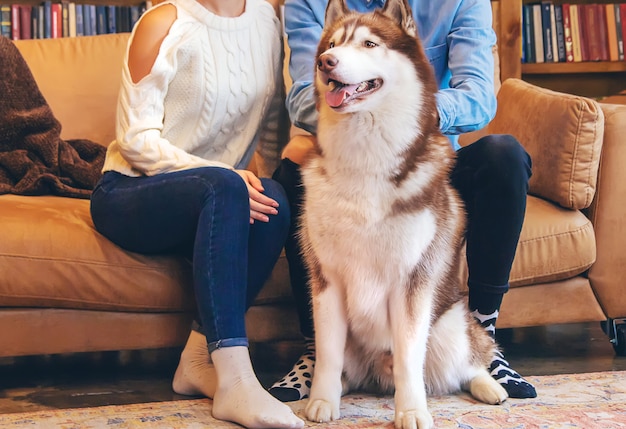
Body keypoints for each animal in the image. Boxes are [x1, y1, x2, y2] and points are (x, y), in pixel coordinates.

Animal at [298, 0, 508, 428]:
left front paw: (411, 411)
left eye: (369, 43)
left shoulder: (412, 281)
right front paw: (322, 401)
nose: (327, 62)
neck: (364, 157)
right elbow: (327, 353)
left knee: (465, 364)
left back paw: (490, 385)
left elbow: (410, 358)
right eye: (331, 44)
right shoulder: (327, 280)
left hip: (449, 325)